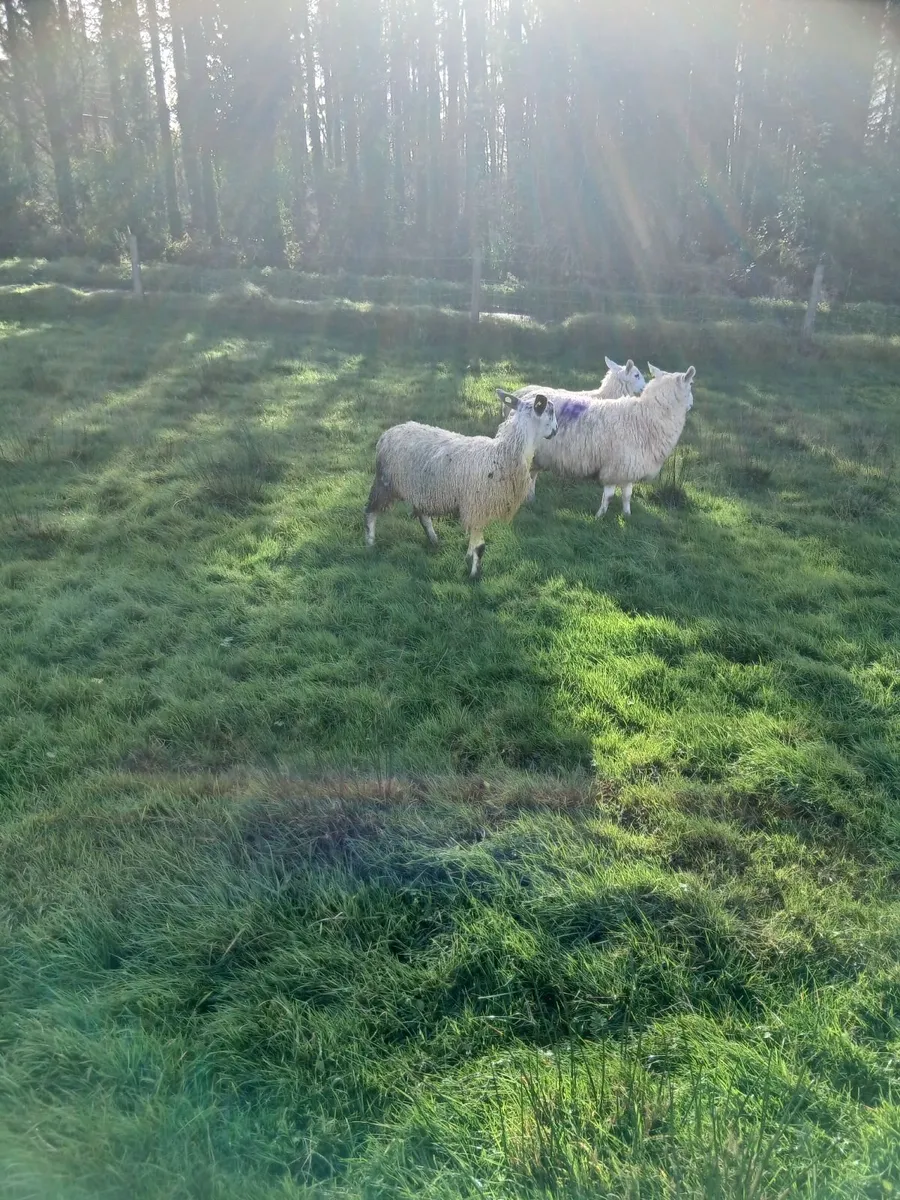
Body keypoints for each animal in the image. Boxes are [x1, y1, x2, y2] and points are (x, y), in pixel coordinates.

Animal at [364, 392, 558, 578]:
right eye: (550, 411)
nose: (555, 431)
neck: (505, 453)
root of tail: (387, 433)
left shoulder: (475, 509)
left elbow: (473, 543)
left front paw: (468, 558)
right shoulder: (477, 507)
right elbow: (480, 547)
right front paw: (474, 575)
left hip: (421, 489)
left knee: (423, 516)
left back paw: (433, 539)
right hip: (385, 482)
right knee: (370, 511)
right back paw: (370, 542)